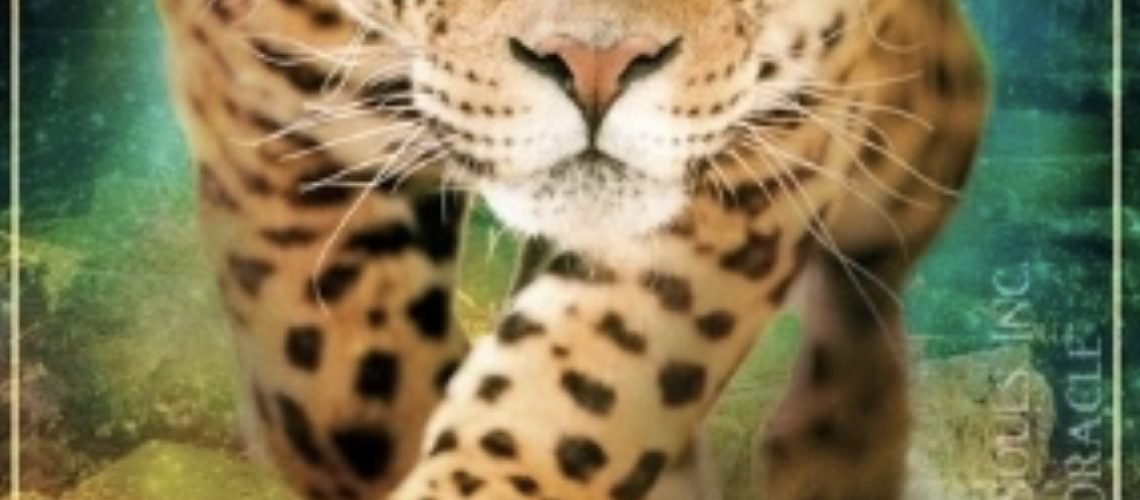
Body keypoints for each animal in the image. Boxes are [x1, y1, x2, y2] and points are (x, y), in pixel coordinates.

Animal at [157, 0, 989, 498]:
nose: (595, 66)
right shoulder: (274, 108)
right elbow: (332, 376)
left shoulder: (765, 138)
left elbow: (595, 375)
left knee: (874, 268)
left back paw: (836, 455)